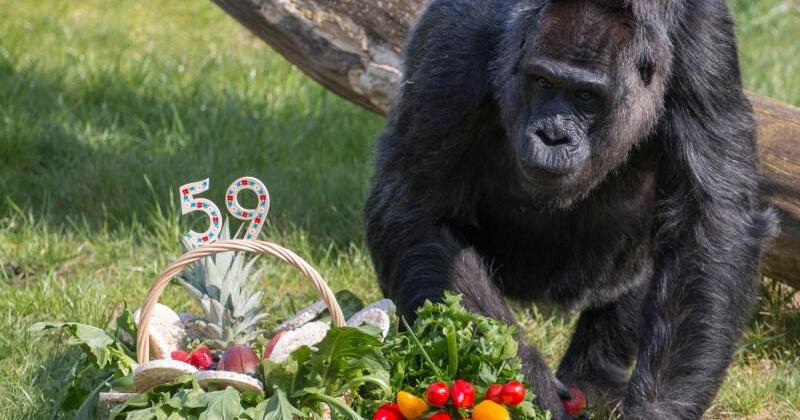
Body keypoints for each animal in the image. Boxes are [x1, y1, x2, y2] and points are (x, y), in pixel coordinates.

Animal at [366, 0, 780, 418]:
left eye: (585, 97)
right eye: (543, 83)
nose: (552, 137)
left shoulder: (704, 37)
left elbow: (709, 220)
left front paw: (656, 408)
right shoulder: (458, 46)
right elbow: (418, 212)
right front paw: (535, 392)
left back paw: (596, 376)